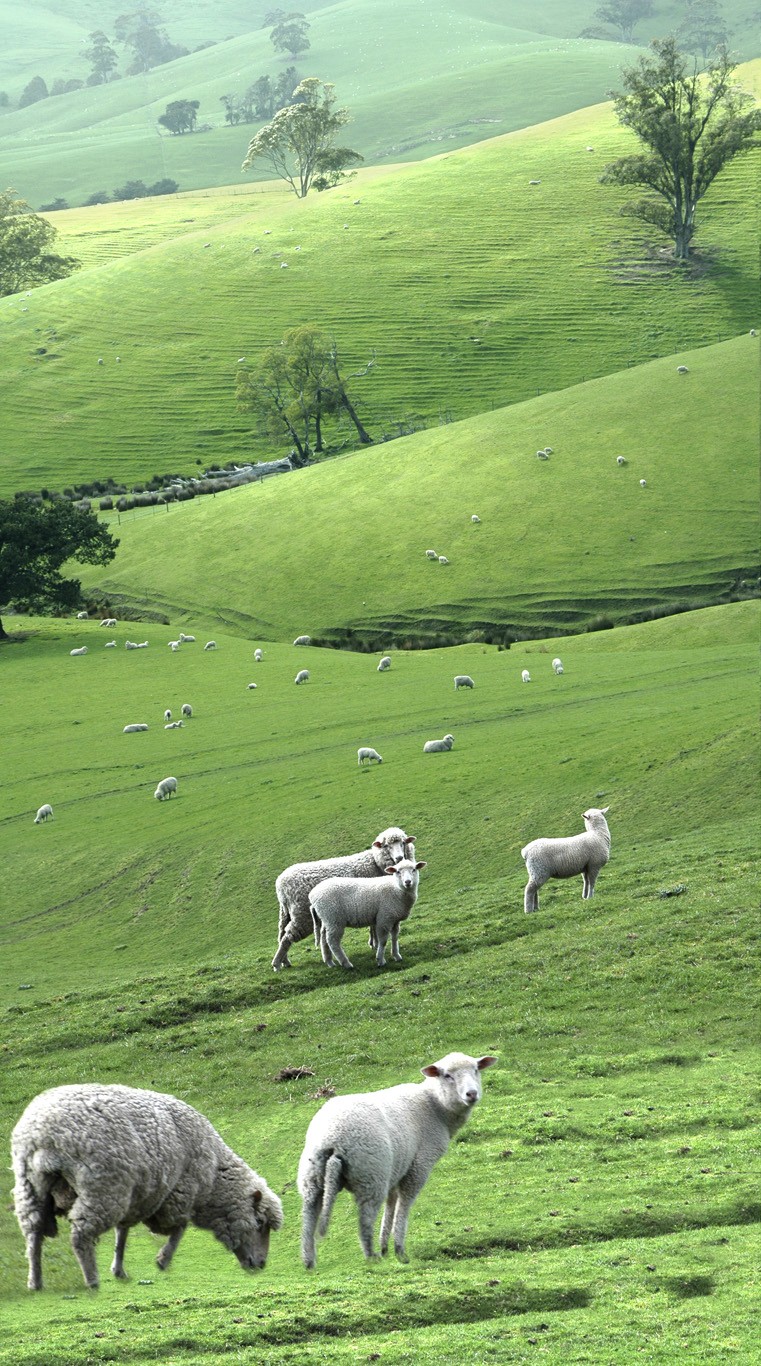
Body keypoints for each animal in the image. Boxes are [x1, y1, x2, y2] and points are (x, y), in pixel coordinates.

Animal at [10, 1076, 282, 1289]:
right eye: (259, 1223)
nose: (261, 1264)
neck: (214, 1179)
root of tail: (44, 1132)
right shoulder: (179, 1192)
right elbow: (179, 1229)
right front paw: (163, 1260)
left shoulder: (136, 1197)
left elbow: (122, 1234)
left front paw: (119, 1270)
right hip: (102, 1188)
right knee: (80, 1236)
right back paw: (92, 1281)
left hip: (30, 1187)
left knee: (33, 1234)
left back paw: (35, 1282)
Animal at [271, 819, 415, 972]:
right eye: (387, 846)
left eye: (403, 842)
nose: (399, 858)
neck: (375, 863)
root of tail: (280, 884)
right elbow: (374, 927)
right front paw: (375, 944)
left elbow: (372, 925)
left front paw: (373, 943)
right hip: (302, 915)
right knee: (288, 936)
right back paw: (277, 964)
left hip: (286, 913)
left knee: (281, 935)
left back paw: (285, 961)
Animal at [296, 1049, 497, 1262]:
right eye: (447, 1075)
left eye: (476, 1070)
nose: (472, 1094)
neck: (435, 1107)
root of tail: (332, 1139)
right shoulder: (419, 1165)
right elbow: (404, 1203)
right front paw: (398, 1248)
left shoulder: (396, 1167)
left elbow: (391, 1202)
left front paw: (385, 1246)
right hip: (371, 1175)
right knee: (365, 1219)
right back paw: (372, 1257)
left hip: (312, 1177)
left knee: (308, 1218)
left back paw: (309, 1260)